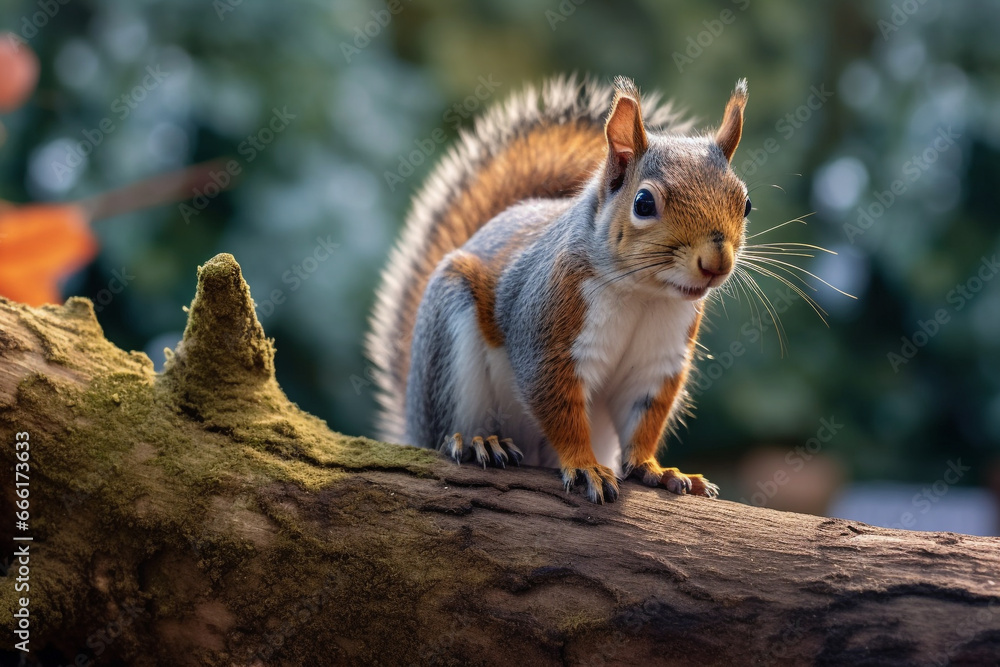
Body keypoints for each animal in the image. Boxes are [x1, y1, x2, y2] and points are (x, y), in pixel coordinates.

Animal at [367, 75, 751, 503]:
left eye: (746, 203)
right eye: (644, 203)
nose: (716, 263)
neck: (642, 294)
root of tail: (412, 421)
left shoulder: (657, 360)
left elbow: (643, 418)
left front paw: (655, 469)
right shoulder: (547, 334)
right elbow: (558, 408)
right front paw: (584, 466)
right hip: (449, 345)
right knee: (448, 427)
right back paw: (477, 442)